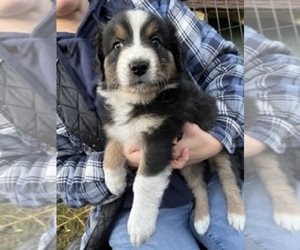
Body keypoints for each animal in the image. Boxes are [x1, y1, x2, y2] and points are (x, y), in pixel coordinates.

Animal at [95, 10, 245, 246]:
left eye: (155, 42)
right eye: (117, 45)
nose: (139, 66)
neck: (140, 99)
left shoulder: (160, 136)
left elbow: (145, 181)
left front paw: (139, 225)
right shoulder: (116, 124)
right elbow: (112, 146)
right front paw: (114, 181)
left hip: (219, 151)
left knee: (229, 180)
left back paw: (237, 215)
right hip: (188, 166)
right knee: (199, 187)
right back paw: (201, 221)